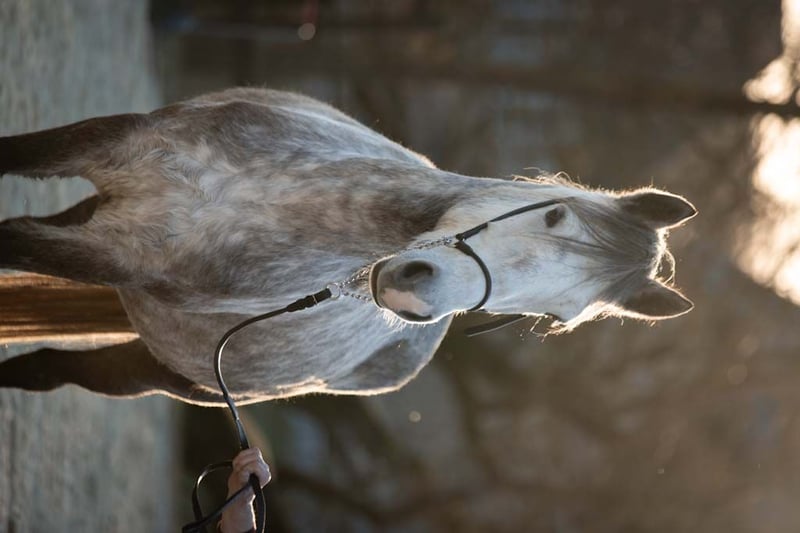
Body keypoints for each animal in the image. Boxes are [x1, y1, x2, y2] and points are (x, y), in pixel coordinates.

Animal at [0, 87, 696, 406]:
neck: (274, 197)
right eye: (554, 214)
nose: (417, 294)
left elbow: (12, 243)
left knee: (59, 370)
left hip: (169, 369)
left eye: (555, 316)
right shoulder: (110, 146)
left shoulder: (130, 261)